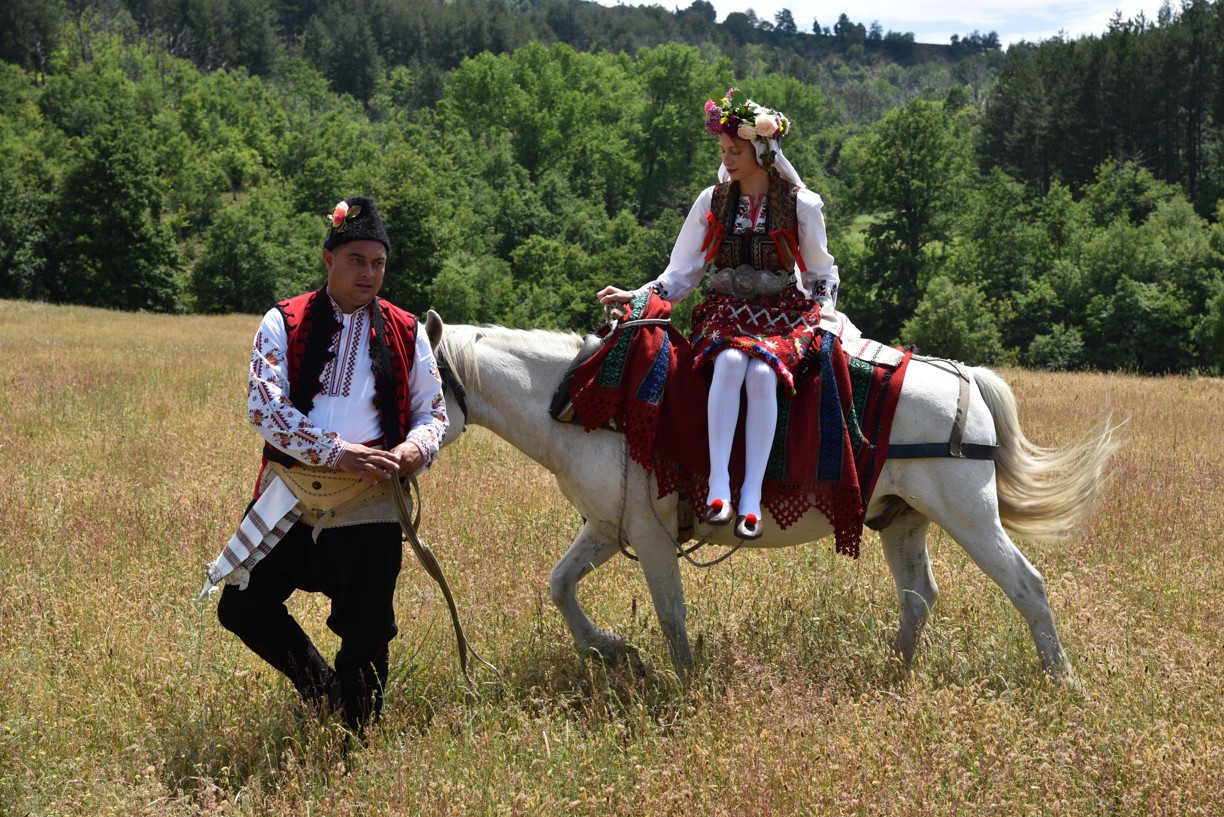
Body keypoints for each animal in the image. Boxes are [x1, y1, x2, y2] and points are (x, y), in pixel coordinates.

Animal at [428, 313, 1121, 685]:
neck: (589, 404)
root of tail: (965, 378)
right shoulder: (606, 528)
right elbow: (560, 584)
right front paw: (611, 649)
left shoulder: (649, 537)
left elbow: (671, 614)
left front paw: (682, 684)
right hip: (905, 521)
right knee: (919, 597)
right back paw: (891, 672)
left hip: (971, 517)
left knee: (1027, 586)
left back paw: (1063, 680)